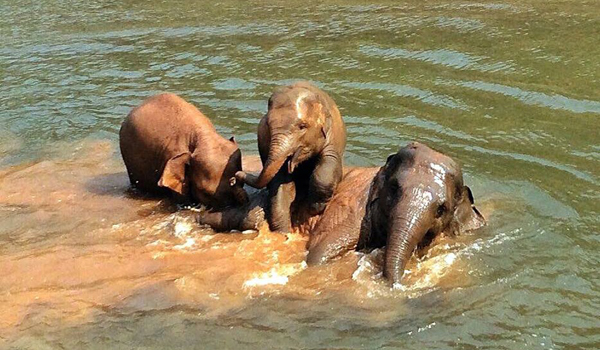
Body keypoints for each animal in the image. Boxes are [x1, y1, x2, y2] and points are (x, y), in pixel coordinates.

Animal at [234, 80, 346, 232]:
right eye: (268, 125)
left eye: (302, 126)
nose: (235, 176)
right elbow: (280, 183)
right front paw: (282, 230)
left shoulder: (331, 134)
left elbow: (328, 163)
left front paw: (315, 208)